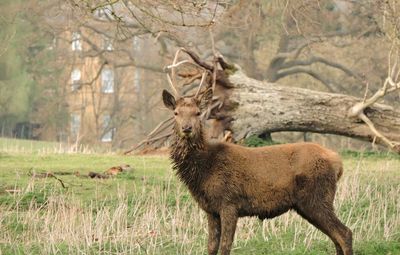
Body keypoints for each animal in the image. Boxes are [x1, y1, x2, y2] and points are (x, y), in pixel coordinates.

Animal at [161, 83, 352, 253]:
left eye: (198, 113)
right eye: (176, 113)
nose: (187, 128)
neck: (204, 169)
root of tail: (338, 163)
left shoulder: (229, 202)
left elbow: (225, 246)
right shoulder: (211, 209)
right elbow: (211, 247)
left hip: (317, 197)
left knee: (344, 233)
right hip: (310, 203)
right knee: (336, 237)